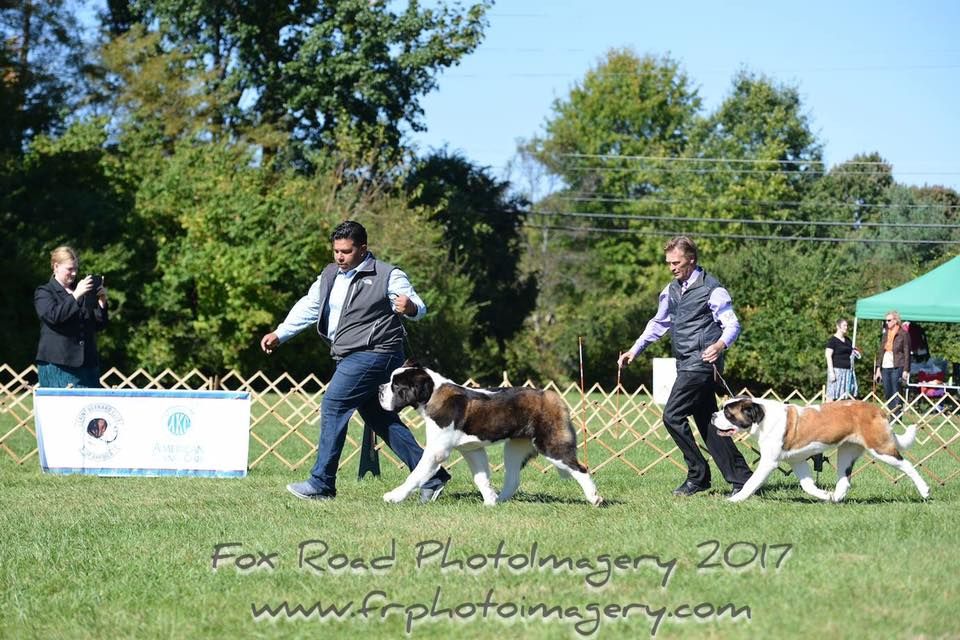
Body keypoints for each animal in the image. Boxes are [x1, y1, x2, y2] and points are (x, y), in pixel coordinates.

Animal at [377, 363, 603, 506]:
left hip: (551, 445)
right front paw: (490, 501)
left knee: (580, 469)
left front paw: (394, 496)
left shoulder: (436, 452)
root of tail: (552, 396)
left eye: (396, 386)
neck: (431, 394)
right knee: (513, 478)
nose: (379, 388)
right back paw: (501, 499)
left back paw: (594, 498)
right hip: (514, 448)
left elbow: (415, 475)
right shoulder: (472, 449)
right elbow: (481, 477)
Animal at [711, 397, 930, 503]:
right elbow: (808, 485)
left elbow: (751, 482)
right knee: (844, 481)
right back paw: (835, 498)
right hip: (846, 452)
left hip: (881, 448)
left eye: (728, 413)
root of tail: (878, 410)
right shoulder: (797, 461)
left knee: (907, 465)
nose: (713, 415)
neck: (762, 417)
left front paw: (734, 499)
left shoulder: (768, 462)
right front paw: (824, 495)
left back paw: (925, 490)